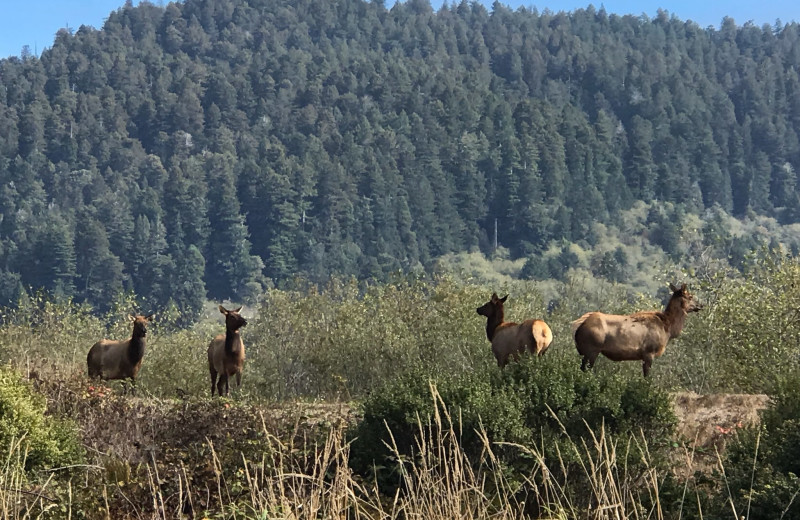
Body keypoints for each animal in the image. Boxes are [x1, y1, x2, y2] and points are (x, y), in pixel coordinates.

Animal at [572, 282, 704, 376]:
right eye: (690, 296)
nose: (701, 305)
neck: (668, 329)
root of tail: (579, 326)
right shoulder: (649, 352)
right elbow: (647, 377)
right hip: (592, 349)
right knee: (585, 370)